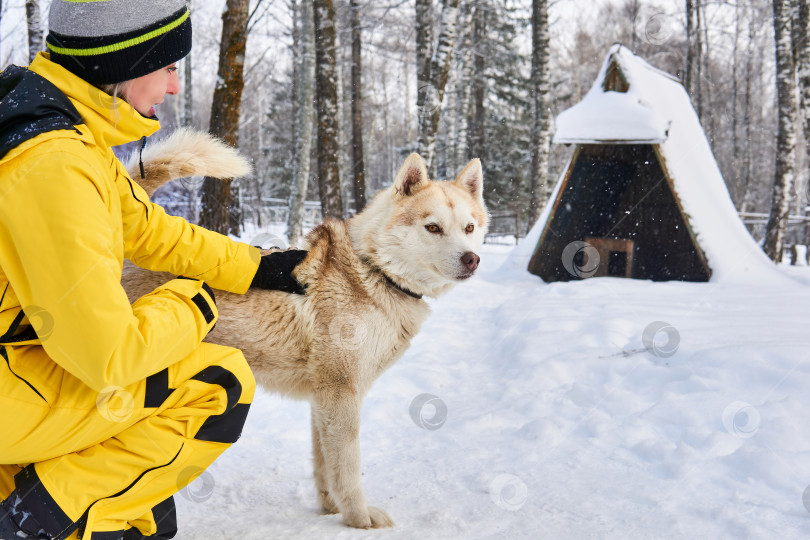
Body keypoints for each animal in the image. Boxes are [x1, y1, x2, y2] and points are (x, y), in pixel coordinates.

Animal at [120, 130, 486, 528]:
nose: (472, 259)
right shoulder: (342, 394)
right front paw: (359, 519)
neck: (374, 271)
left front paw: (331, 510)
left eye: (469, 228)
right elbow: (349, 469)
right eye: (433, 227)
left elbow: (326, 468)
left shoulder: (323, 399)